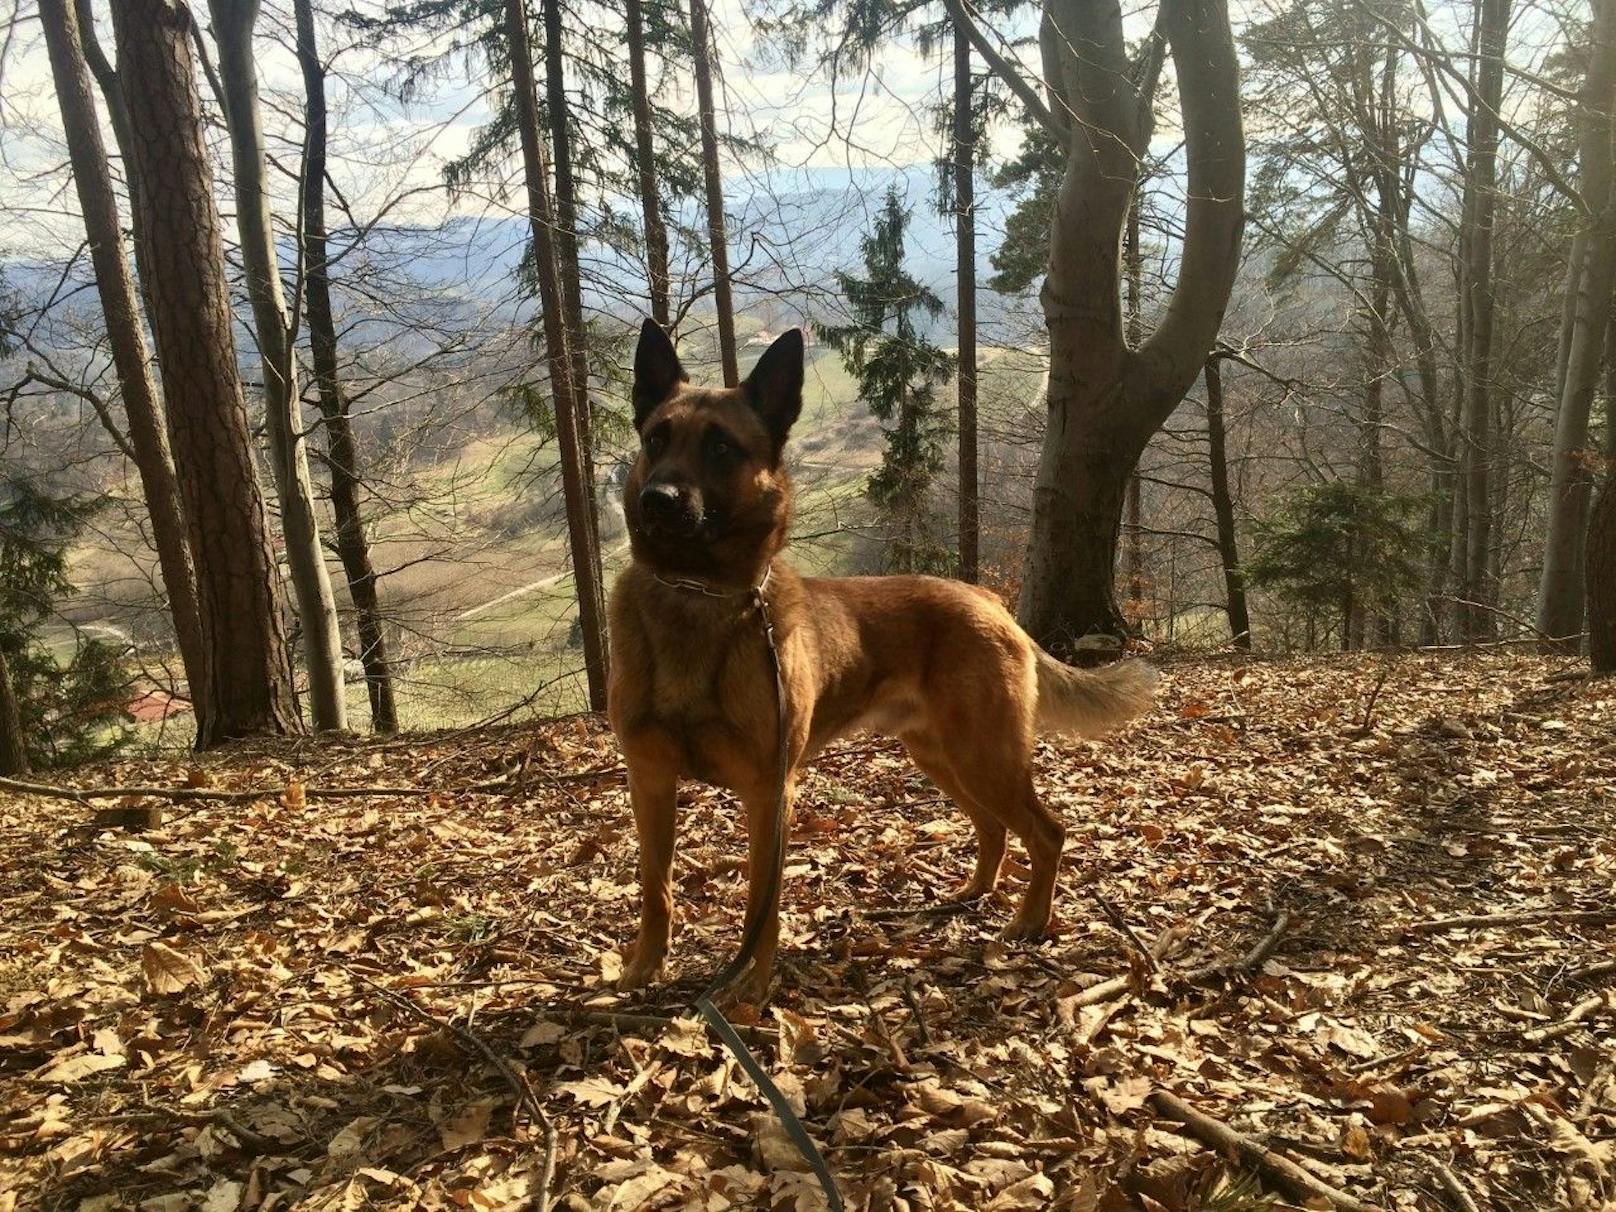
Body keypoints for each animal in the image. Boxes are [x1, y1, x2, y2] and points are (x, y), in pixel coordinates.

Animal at [604, 319, 1150, 1008]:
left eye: (722, 447)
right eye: (656, 439)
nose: (658, 500)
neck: (696, 593)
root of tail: (993, 604)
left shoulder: (770, 792)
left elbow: (763, 903)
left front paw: (752, 984)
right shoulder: (649, 780)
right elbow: (656, 887)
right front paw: (645, 966)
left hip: (983, 757)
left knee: (1046, 831)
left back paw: (1029, 920)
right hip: (944, 759)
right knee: (995, 828)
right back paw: (977, 892)